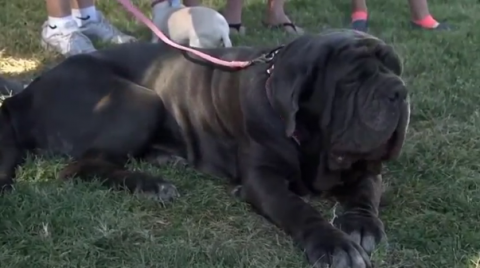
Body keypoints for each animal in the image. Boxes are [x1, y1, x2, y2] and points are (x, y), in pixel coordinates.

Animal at [0, 30, 408, 266]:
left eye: (396, 68)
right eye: (352, 79)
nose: (400, 90)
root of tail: (26, 93)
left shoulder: (366, 166)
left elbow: (366, 192)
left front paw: (361, 224)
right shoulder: (263, 178)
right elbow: (297, 208)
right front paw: (334, 244)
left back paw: (167, 158)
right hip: (140, 99)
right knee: (78, 167)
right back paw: (151, 185)